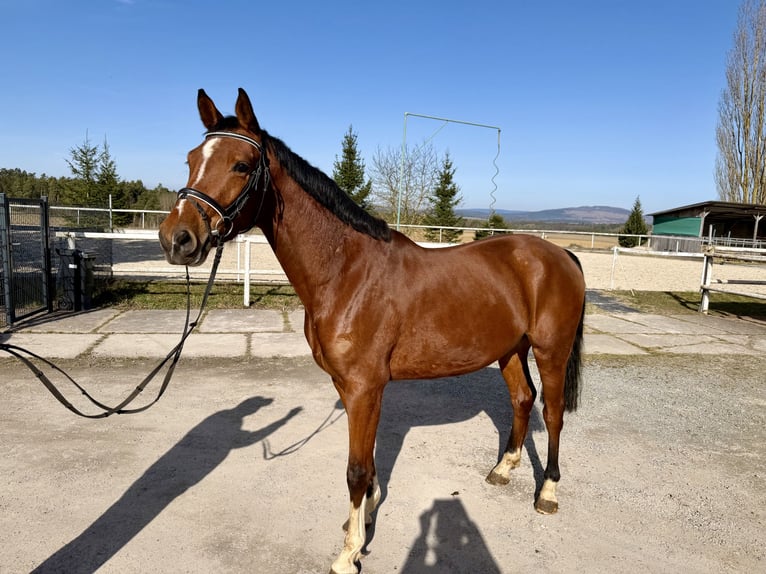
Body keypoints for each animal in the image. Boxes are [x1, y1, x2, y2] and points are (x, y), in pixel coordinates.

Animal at [158, 88, 586, 574]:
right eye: (192, 159)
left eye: (242, 166)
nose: (177, 239)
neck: (347, 271)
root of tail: (560, 255)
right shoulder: (351, 387)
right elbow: (368, 463)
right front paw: (362, 522)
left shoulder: (365, 386)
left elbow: (355, 470)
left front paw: (348, 553)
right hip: (510, 349)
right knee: (522, 399)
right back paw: (503, 469)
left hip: (551, 351)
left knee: (552, 413)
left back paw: (547, 492)